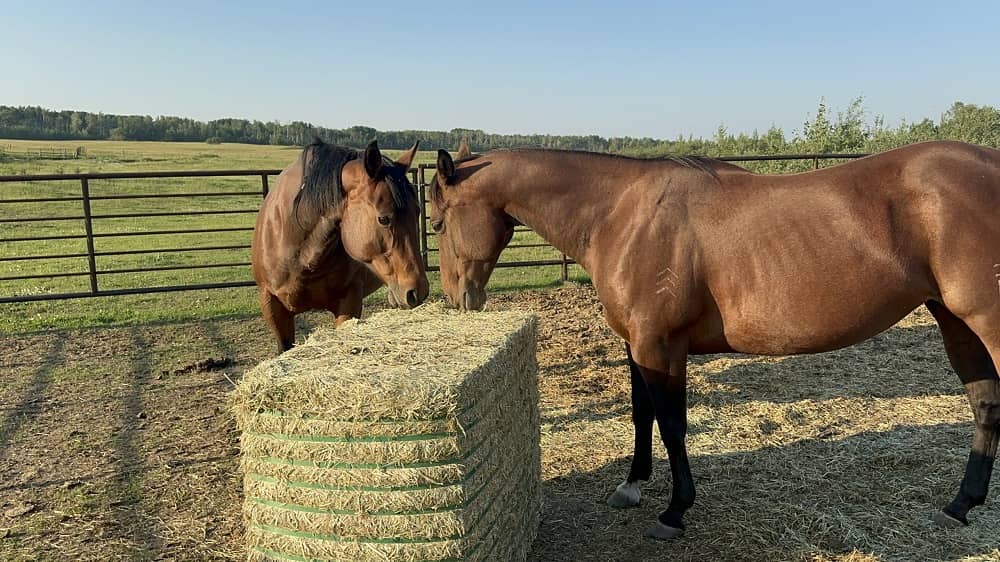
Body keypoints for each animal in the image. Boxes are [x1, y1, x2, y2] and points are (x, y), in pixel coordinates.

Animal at [427, 140, 1000, 540]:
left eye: (436, 222)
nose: (458, 298)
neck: (622, 215)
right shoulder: (638, 344)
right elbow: (642, 414)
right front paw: (632, 485)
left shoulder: (661, 345)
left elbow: (673, 425)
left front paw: (675, 510)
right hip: (956, 321)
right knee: (985, 404)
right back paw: (960, 505)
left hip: (984, 320)